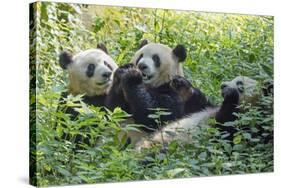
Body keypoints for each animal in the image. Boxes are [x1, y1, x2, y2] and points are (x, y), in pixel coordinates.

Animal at [135, 75, 272, 151]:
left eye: (240, 84)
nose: (223, 85)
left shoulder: (248, 128)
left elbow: (225, 134)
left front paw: (231, 94)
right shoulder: (206, 107)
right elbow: (194, 105)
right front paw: (181, 84)